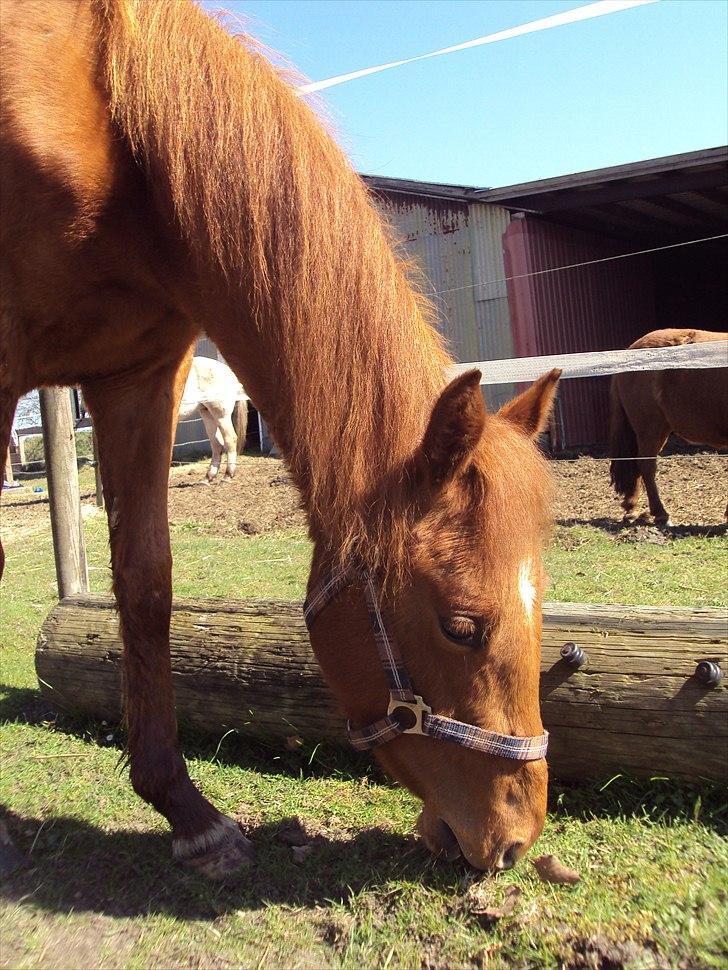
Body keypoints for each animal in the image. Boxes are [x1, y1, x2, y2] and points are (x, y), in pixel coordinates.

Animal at [0, 0, 560, 876]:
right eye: (461, 626)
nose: (514, 838)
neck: (110, 129)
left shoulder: (139, 377)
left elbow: (146, 583)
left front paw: (189, 814)